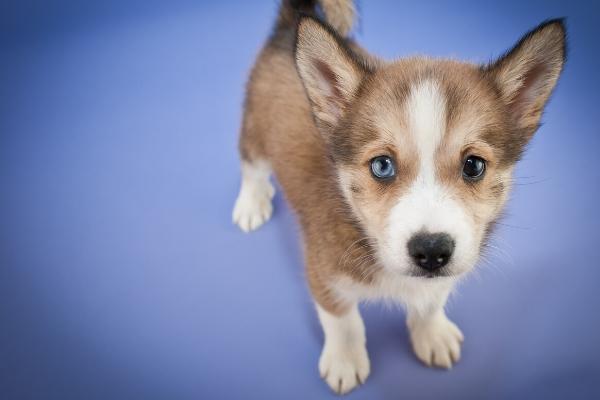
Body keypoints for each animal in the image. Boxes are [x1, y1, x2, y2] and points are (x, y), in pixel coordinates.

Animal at [232, 0, 564, 394]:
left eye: (473, 166)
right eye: (382, 166)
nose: (432, 251)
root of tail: (286, 28)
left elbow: (431, 302)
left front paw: (432, 334)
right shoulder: (322, 273)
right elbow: (343, 320)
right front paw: (345, 361)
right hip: (254, 132)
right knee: (251, 166)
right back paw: (251, 203)